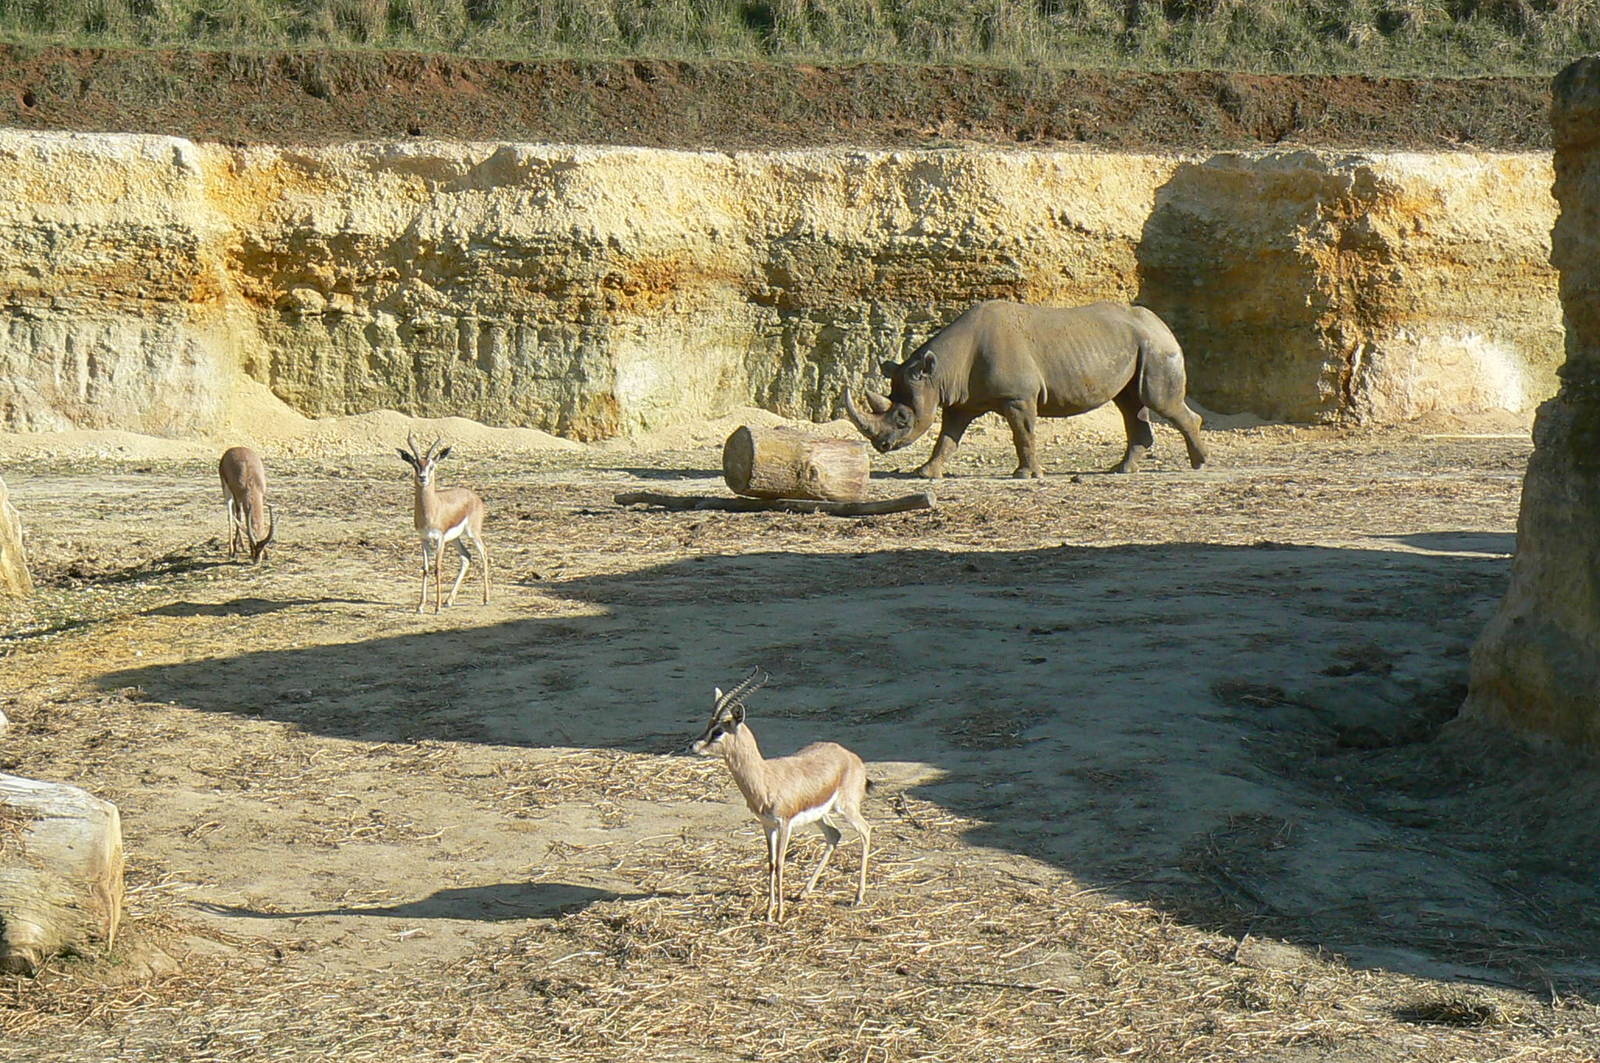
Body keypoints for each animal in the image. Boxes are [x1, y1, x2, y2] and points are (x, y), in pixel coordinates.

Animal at [842, 300, 1208, 479]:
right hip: (1136, 344)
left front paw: (1025, 475)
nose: (882, 446)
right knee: (1130, 403)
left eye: (903, 419)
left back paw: (1199, 464)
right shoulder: (960, 402)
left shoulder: (1017, 397)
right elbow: (947, 438)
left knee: (1156, 400)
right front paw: (925, 474)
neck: (940, 372)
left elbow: (1023, 433)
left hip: (1156, 347)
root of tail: (1161, 322)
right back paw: (1121, 470)